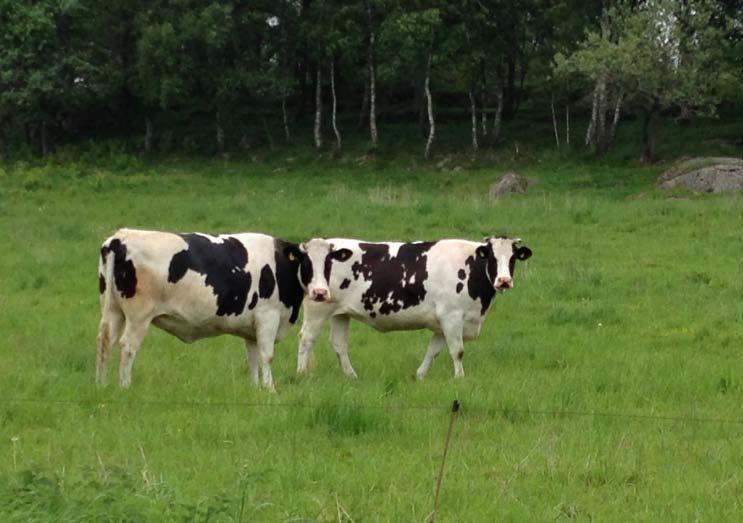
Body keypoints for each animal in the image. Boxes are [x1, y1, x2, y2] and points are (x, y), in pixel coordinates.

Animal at [97, 227, 306, 390]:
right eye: (307, 262)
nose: (315, 291)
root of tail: (121, 237)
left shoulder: (251, 327)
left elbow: (253, 357)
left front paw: (256, 388)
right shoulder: (268, 316)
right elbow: (266, 356)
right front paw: (270, 390)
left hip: (112, 310)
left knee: (105, 341)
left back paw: (102, 384)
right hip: (138, 317)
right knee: (128, 346)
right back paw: (124, 386)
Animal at [294, 237, 532, 380]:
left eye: (512, 258)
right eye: (492, 257)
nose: (504, 281)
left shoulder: (442, 323)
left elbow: (433, 351)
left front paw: (420, 375)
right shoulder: (452, 316)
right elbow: (457, 351)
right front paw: (460, 378)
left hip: (341, 313)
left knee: (339, 344)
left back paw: (352, 376)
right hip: (318, 308)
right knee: (306, 339)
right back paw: (301, 373)